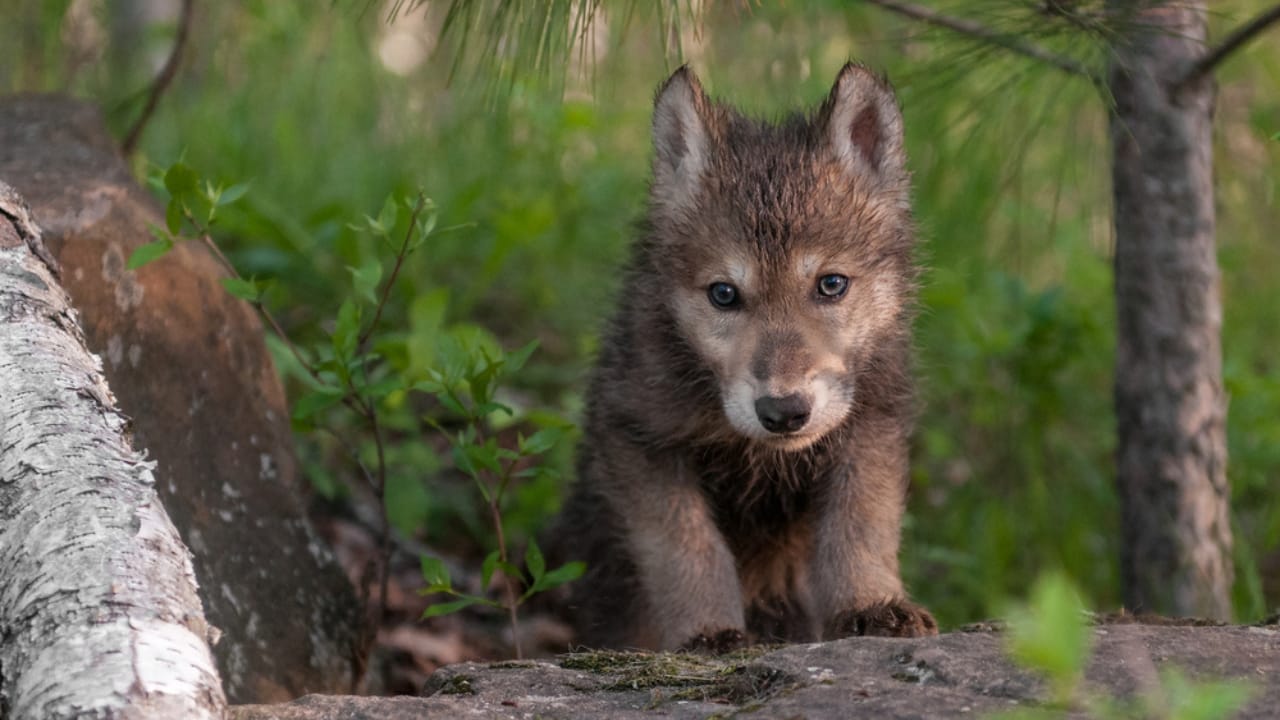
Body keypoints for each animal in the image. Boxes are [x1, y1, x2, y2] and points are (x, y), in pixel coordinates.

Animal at [557, 63, 936, 652]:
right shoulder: (639, 437)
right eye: (724, 294)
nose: (784, 412)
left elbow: (859, 527)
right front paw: (707, 631)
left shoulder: (871, 424)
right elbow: (687, 549)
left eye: (831, 284)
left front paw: (872, 605)